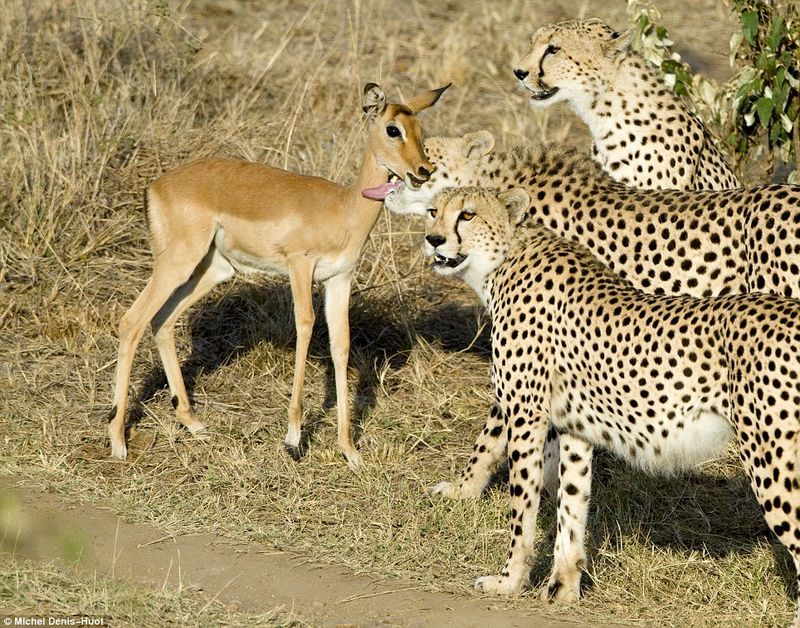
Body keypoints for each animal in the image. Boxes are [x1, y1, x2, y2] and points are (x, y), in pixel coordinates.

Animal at [422, 186, 796, 624]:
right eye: (433, 210)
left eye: (467, 214)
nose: (434, 239)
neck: (504, 258)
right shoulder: (575, 428)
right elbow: (572, 503)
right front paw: (563, 587)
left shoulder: (527, 416)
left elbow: (523, 504)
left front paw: (509, 580)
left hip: (771, 459)